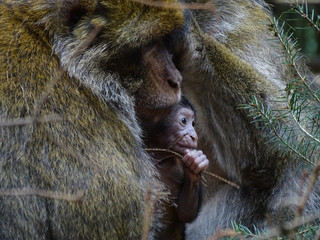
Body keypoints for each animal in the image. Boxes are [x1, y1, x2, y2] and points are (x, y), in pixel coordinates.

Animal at [143, 97, 210, 238]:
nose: (194, 136)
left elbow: (185, 213)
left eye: (193, 123)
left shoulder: (177, 167)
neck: (158, 159)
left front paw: (195, 164)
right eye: (184, 121)